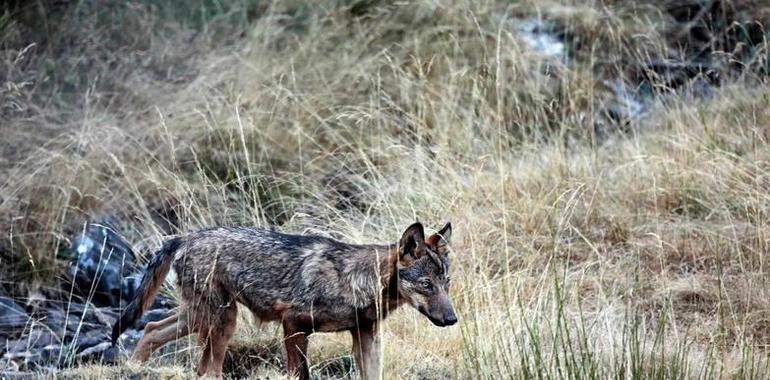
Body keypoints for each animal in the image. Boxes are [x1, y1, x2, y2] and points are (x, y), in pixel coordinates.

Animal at [111, 221, 452, 378]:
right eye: (426, 285)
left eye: (446, 284)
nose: (452, 319)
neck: (353, 280)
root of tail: (184, 237)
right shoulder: (294, 326)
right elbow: (300, 374)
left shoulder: (365, 335)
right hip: (221, 322)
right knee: (208, 369)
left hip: (202, 318)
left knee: (151, 328)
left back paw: (132, 368)